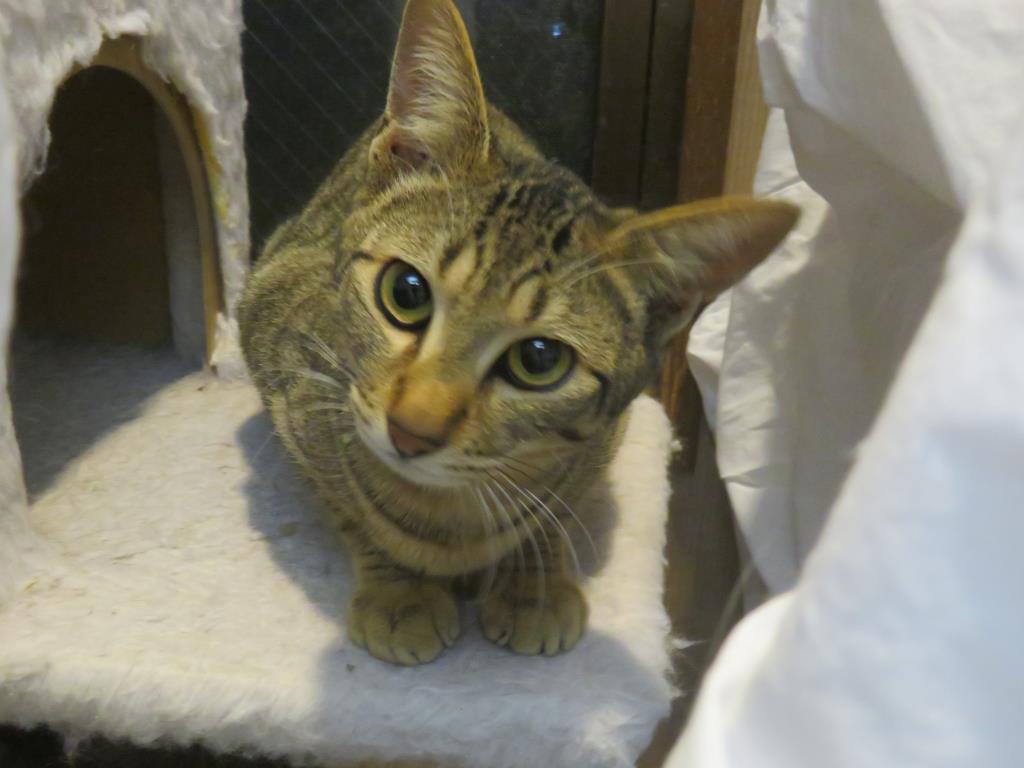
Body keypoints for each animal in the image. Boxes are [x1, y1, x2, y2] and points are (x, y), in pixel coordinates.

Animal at [238, 0, 797, 666]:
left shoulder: (601, 441)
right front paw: (401, 592)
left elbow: (556, 508)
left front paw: (533, 583)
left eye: (538, 359)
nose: (410, 430)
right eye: (406, 293)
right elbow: (347, 505)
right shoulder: (283, 358)